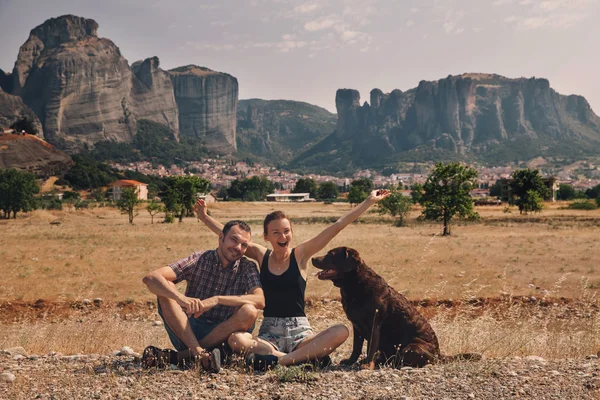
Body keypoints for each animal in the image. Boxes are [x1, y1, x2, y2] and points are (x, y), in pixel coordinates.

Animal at [312, 247, 476, 368]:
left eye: (331, 254)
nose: (313, 258)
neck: (355, 285)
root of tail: (438, 353)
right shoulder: (356, 326)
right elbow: (356, 348)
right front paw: (351, 361)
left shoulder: (374, 324)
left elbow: (370, 347)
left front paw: (367, 365)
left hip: (411, 347)